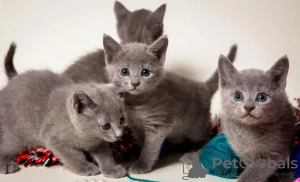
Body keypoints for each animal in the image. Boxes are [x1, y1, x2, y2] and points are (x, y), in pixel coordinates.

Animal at [102, 33, 238, 174]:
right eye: (124, 71)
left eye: (145, 72)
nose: (135, 83)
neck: (137, 102)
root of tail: (203, 86)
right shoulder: (135, 124)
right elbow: (142, 141)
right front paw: (140, 155)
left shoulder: (158, 123)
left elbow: (150, 146)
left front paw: (142, 164)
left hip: (196, 126)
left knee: (206, 138)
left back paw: (193, 154)